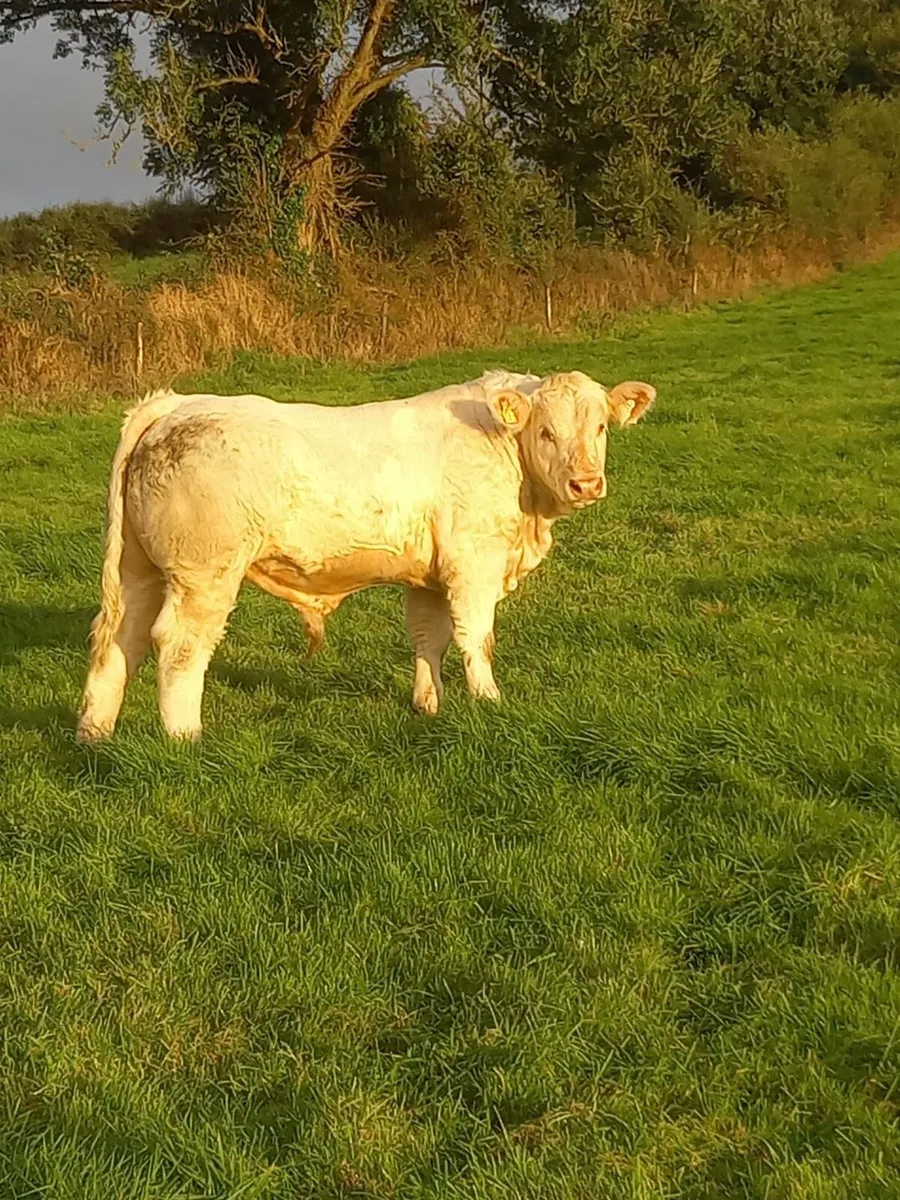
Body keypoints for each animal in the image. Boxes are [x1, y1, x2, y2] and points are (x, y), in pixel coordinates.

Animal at [77, 368, 655, 742]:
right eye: (546, 431)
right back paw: (185, 736)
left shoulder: (428, 576)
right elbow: (476, 636)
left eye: (601, 427)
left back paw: (95, 732)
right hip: (205, 573)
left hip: (138, 569)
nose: (586, 483)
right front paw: (489, 702)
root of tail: (177, 403)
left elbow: (429, 637)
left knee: (119, 639)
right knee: (178, 645)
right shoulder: (474, 562)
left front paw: (428, 705)